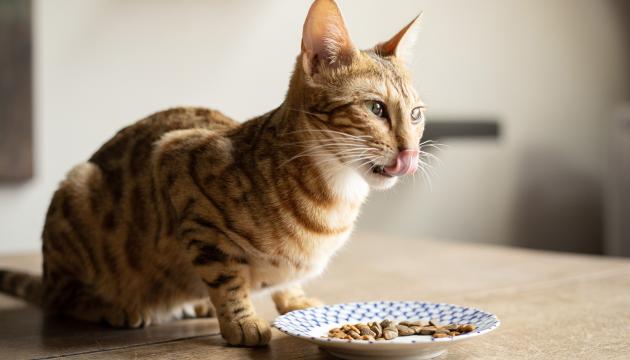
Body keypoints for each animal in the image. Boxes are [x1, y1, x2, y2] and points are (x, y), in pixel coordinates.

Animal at [0, 0, 428, 348]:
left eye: (415, 114)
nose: (410, 152)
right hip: (76, 194)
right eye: (375, 108)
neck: (334, 196)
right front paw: (242, 321)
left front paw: (293, 298)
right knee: (61, 298)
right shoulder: (178, 167)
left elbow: (286, 281)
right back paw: (114, 306)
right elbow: (226, 276)